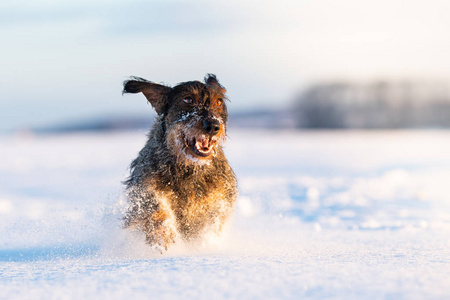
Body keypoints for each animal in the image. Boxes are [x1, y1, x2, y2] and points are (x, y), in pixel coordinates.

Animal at [121, 73, 237, 251]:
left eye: (218, 101)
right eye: (187, 99)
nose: (213, 125)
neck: (189, 167)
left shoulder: (223, 192)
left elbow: (217, 215)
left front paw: (207, 241)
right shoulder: (144, 186)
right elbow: (154, 206)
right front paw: (164, 235)